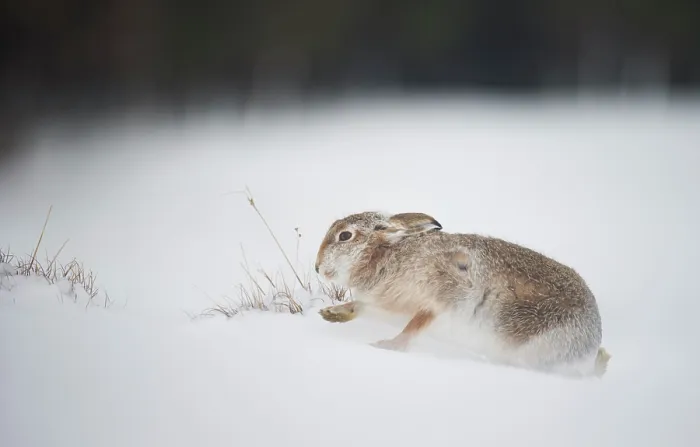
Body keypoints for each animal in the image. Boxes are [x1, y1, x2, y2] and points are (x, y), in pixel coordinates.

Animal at [314, 211, 610, 377]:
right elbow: (361, 306)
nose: (317, 267)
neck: (384, 255)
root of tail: (593, 336)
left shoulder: (446, 294)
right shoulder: (384, 305)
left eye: (344, 236)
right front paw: (332, 314)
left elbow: (418, 323)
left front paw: (389, 346)